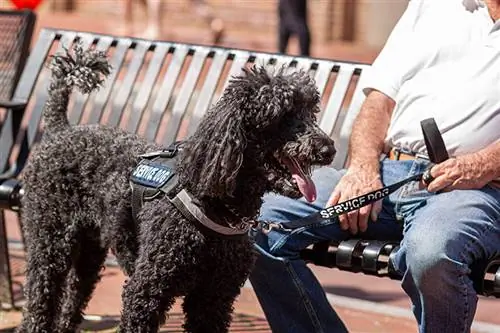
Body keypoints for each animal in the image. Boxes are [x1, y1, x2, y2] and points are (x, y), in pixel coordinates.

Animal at [16, 44, 336, 332]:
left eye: (310, 112)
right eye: (282, 115)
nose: (328, 148)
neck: (214, 204)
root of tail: (60, 129)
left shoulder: (213, 299)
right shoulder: (146, 291)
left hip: (90, 249)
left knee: (73, 298)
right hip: (50, 242)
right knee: (39, 303)